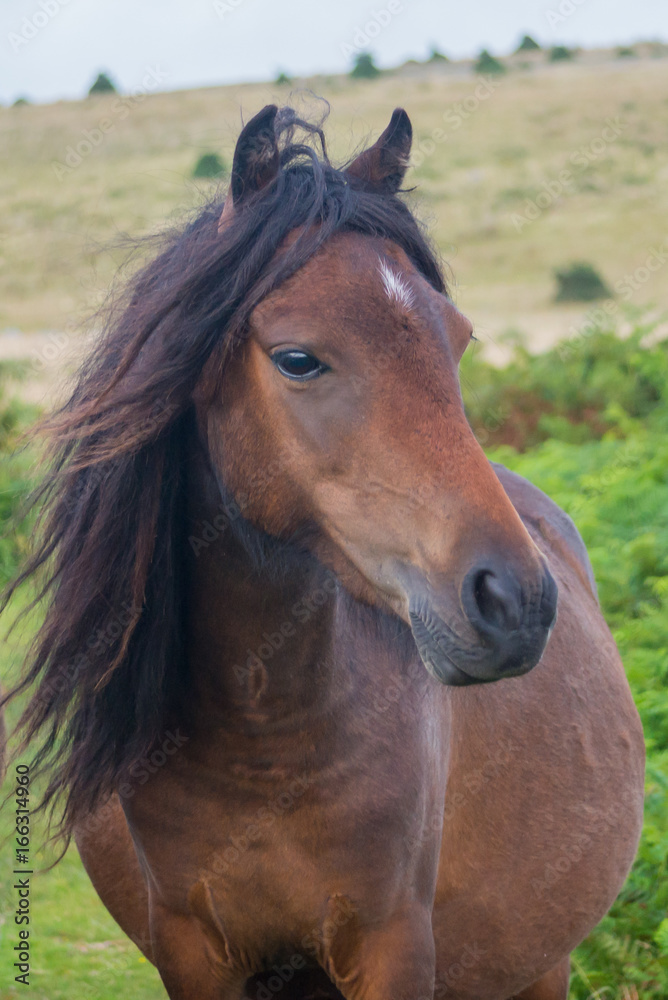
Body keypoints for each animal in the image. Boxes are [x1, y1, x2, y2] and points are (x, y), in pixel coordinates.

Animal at [3, 105, 644, 1000]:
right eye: (298, 359)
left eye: (458, 339)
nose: (515, 601)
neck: (261, 741)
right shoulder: (191, 951)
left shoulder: (392, 947)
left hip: (541, 965)